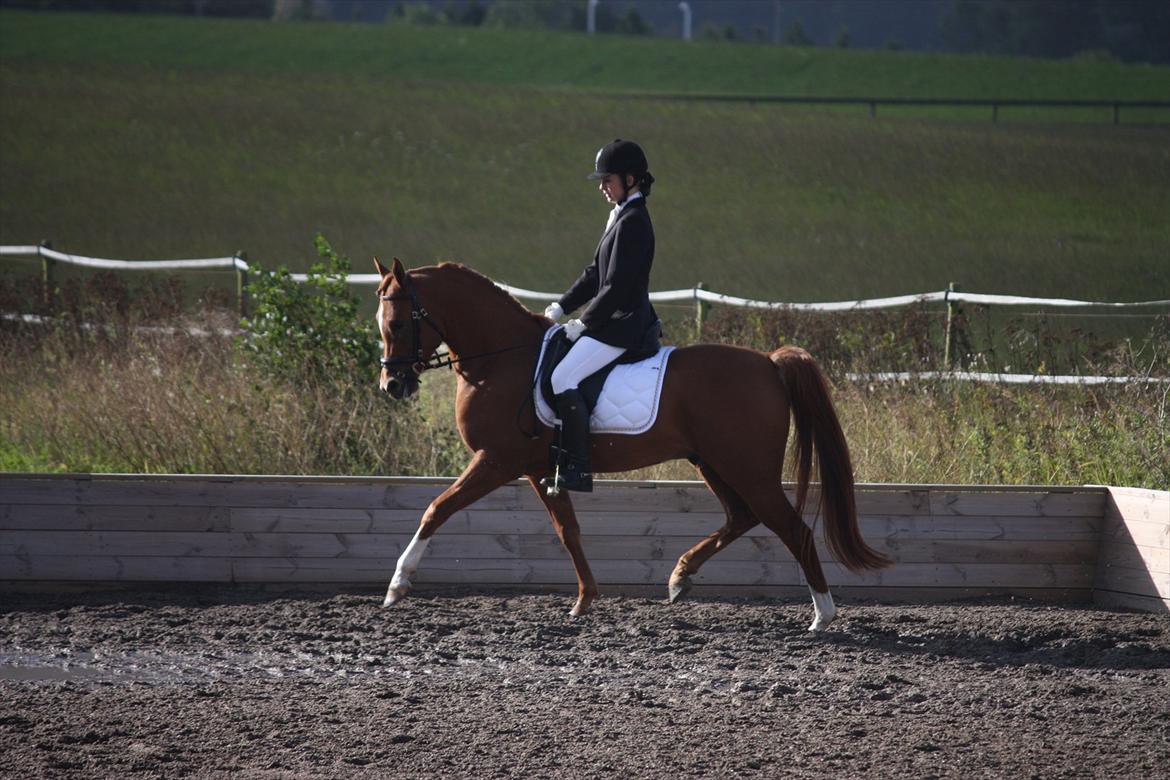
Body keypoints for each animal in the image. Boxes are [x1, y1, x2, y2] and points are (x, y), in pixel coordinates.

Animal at [379, 259, 889, 631]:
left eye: (400, 323)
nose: (393, 386)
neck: (503, 360)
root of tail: (768, 362)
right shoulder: (540, 468)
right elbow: (568, 530)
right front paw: (584, 601)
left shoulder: (496, 461)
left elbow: (437, 508)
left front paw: (398, 584)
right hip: (713, 463)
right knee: (741, 517)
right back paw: (681, 578)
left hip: (749, 469)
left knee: (791, 528)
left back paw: (822, 616)